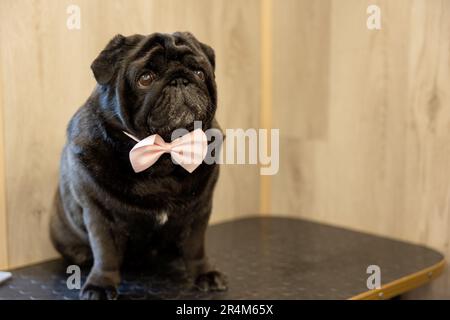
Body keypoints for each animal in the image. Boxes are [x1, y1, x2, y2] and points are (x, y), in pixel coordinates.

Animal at [49, 32, 227, 300]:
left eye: (199, 72)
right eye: (145, 78)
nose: (180, 79)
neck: (164, 155)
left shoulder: (198, 210)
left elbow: (196, 246)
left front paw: (204, 273)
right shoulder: (101, 215)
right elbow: (106, 254)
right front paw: (100, 284)